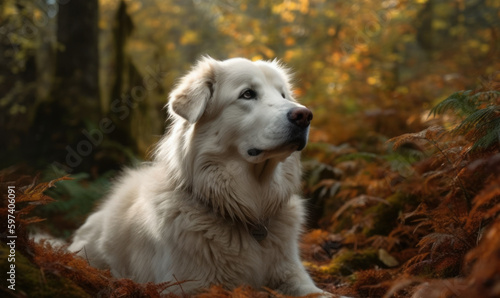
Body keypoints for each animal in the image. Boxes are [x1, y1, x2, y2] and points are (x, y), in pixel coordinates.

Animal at [69, 56, 324, 296]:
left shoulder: (294, 276)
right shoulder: (189, 285)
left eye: (283, 95)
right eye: (248, 94)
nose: (304, 115)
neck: (250, 209)